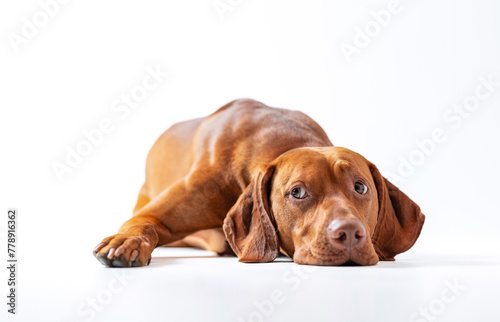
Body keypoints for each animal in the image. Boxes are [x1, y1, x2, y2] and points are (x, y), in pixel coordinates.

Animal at [93, 98, 422, 266]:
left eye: (360, 187)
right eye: (297, 192)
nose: (351, 233)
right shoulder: (153, 215)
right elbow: (142, 224)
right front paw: (126, 241)